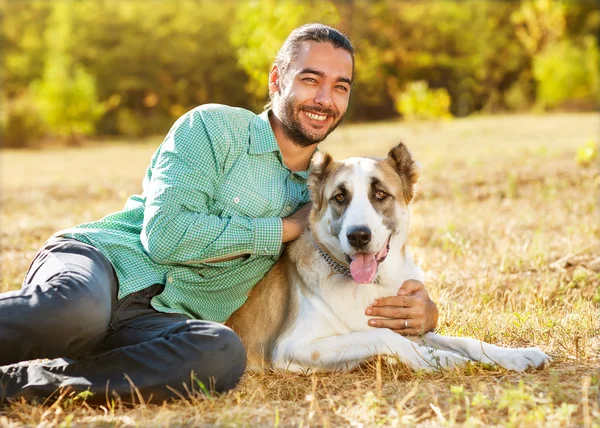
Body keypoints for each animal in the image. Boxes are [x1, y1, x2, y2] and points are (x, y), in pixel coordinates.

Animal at [226, 143, 552, 372]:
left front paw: (516, 354)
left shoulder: (408, 324)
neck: (375, 284)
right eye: (339, 197)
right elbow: (382, 336)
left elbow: (463, 340)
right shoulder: (294, 347)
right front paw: (441, 360)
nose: (358, 236)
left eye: (380, 194)